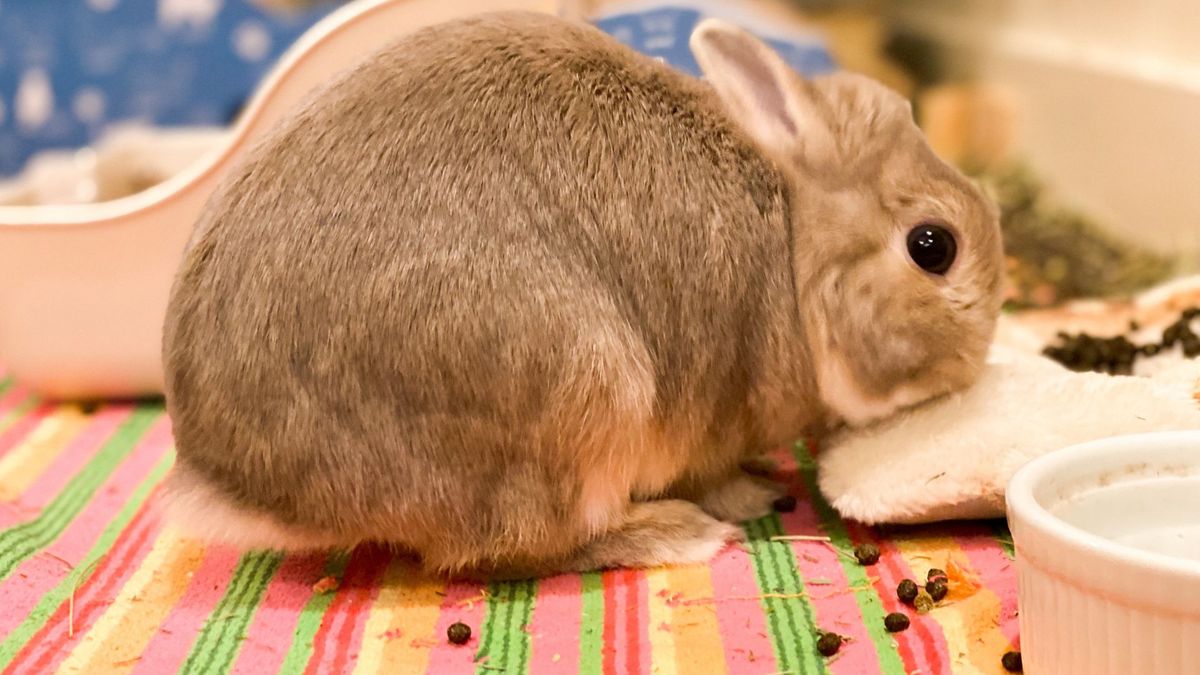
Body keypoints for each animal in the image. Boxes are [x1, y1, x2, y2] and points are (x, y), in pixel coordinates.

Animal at [159, 10, 1003, 576]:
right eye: (933, 246)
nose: (978, 356)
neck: (794, 242)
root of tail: (238, 483)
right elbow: (712, 469)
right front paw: (749, 498)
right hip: (583, 393)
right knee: (517, 547)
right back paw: (676, 533)